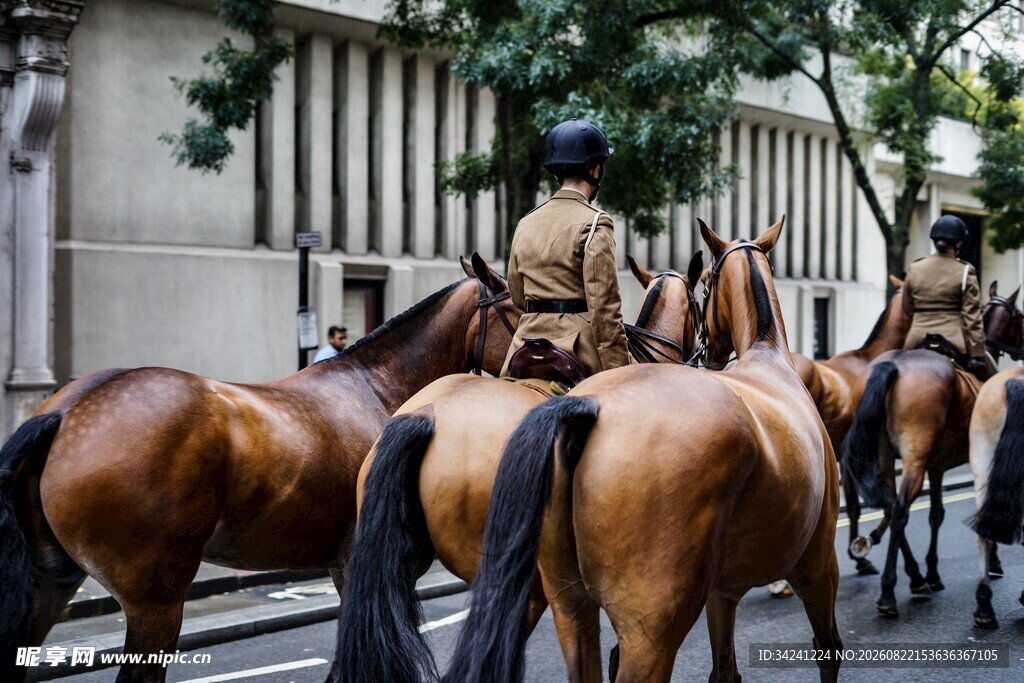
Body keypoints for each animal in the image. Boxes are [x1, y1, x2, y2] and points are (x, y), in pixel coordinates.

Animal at [0, 254, 519, 682]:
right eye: (521, 308)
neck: (379, 389)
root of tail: (68, 410)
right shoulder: (372, 564)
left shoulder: (347, 566)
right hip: (156, 600)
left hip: (52, 585)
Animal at [443, 217, 841, 683]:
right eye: (704, 285)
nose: (710, 351)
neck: (767, 356)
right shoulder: (817, 565)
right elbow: (827, 648)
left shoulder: (722, 590)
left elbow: (725, 669)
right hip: (652, 628)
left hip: (569, 609)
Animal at [842, 284, 1023, 618]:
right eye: (1019, 316)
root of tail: (892, 364)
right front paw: (992, 563)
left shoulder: (935, 466)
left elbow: (936, 513)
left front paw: (933, 572)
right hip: (914, 458)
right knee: (900, 510)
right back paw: (889, 591)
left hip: (888, 458)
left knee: (892, 506)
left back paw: (914, 577)